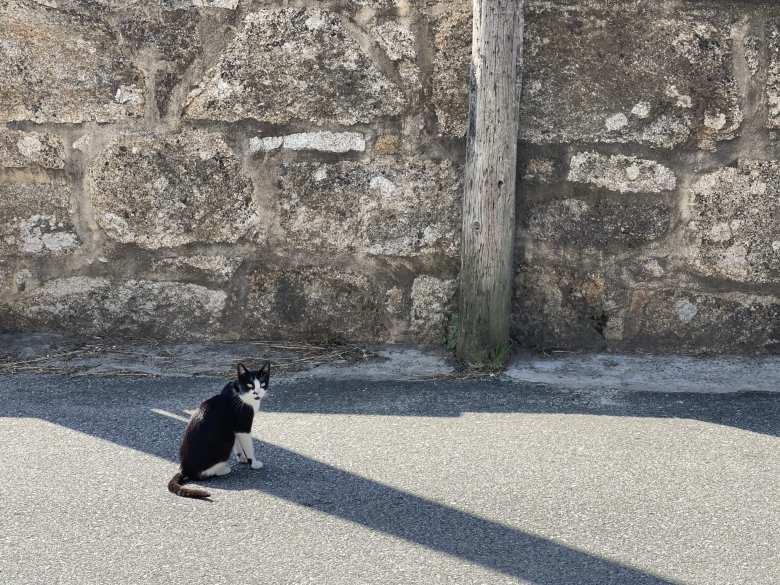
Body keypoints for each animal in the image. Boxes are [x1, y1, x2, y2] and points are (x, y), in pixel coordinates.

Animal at [168, 360, 272, 498]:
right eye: (250, 385)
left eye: (262, 384)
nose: (257, 393)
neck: (239, 392)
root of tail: (184, 469)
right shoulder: (242, 425)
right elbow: (249, 447)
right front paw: (253, 463)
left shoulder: (235, 429)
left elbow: (238, 444)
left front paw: (242, 458)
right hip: (224, 444)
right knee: (200, 475)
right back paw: (223, 469)